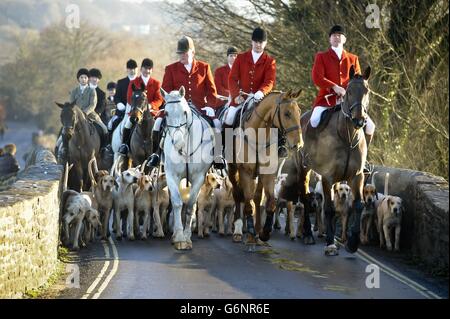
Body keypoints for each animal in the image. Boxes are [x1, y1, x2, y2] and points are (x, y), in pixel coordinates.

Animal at [162, 86, 216, 251]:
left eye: (184, 112)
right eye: (166, 113)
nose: (178, 142)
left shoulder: (199, 178)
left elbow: (190, 206)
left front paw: (186, 237)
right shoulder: (171, 175)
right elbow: (177, 203)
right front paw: (179, 237)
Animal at [229, 90, 306, 248]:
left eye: (299, 111)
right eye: (287, 113)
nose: (299, 144)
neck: (259, 136)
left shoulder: (268, 174)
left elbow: (270, 202)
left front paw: (264, 233)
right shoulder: (245, 173)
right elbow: (248, 203)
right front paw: (249, 232)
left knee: (258, 198)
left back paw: (257, 230)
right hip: (232, 170)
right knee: (238, 194)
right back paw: (239, 229)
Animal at [298, 66, 370, 256]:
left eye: (367, 91)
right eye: (349, 91)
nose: (359, 120)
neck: (347, 137)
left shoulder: (357, 177)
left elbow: (358, 205)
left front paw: (352, 242)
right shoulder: (327, 177)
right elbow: (329, 209)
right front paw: (330, 243)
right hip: (304, 168)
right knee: (305, 196)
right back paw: (308, 234)